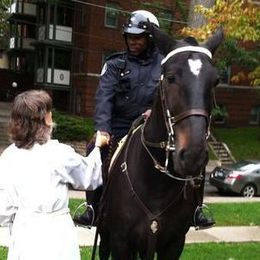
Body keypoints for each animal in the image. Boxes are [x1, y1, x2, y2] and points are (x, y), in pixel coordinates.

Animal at [97, 27, 223, 258]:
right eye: (170, 77)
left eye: (215, 81)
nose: (193, 155)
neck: (156, 185)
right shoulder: (121, 242)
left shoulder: (173, 244)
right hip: (105, 236)